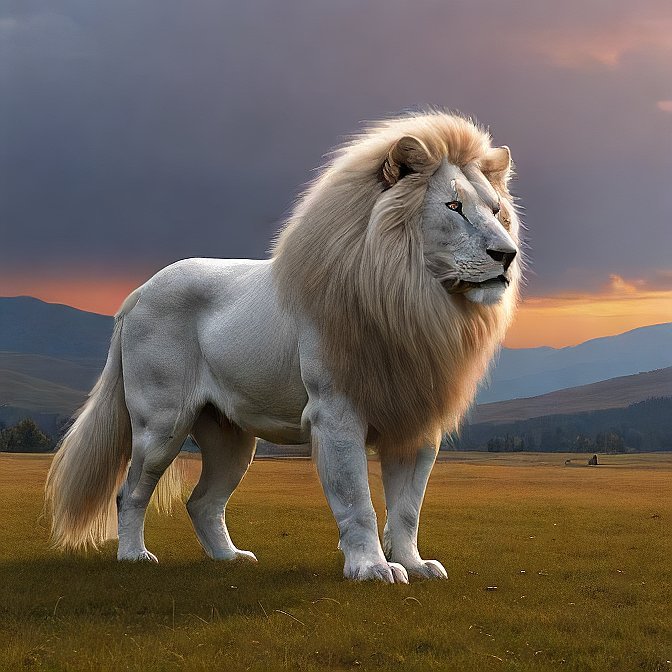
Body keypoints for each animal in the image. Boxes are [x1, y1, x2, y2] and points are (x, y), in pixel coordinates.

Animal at [46, 111, 522, 583]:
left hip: (230, 438)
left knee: (202, 501)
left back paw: (230, 558)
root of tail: (137, 294)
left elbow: (407, 508)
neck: (413, 301)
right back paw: (134, 556)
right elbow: (357, 501)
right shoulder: (335, 412)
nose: (507, 254)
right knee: (129, 492)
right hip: (160, 424)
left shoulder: (417, 422)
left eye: (495, 210)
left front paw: (414, 564)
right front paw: (371, 569)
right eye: (454, 207)